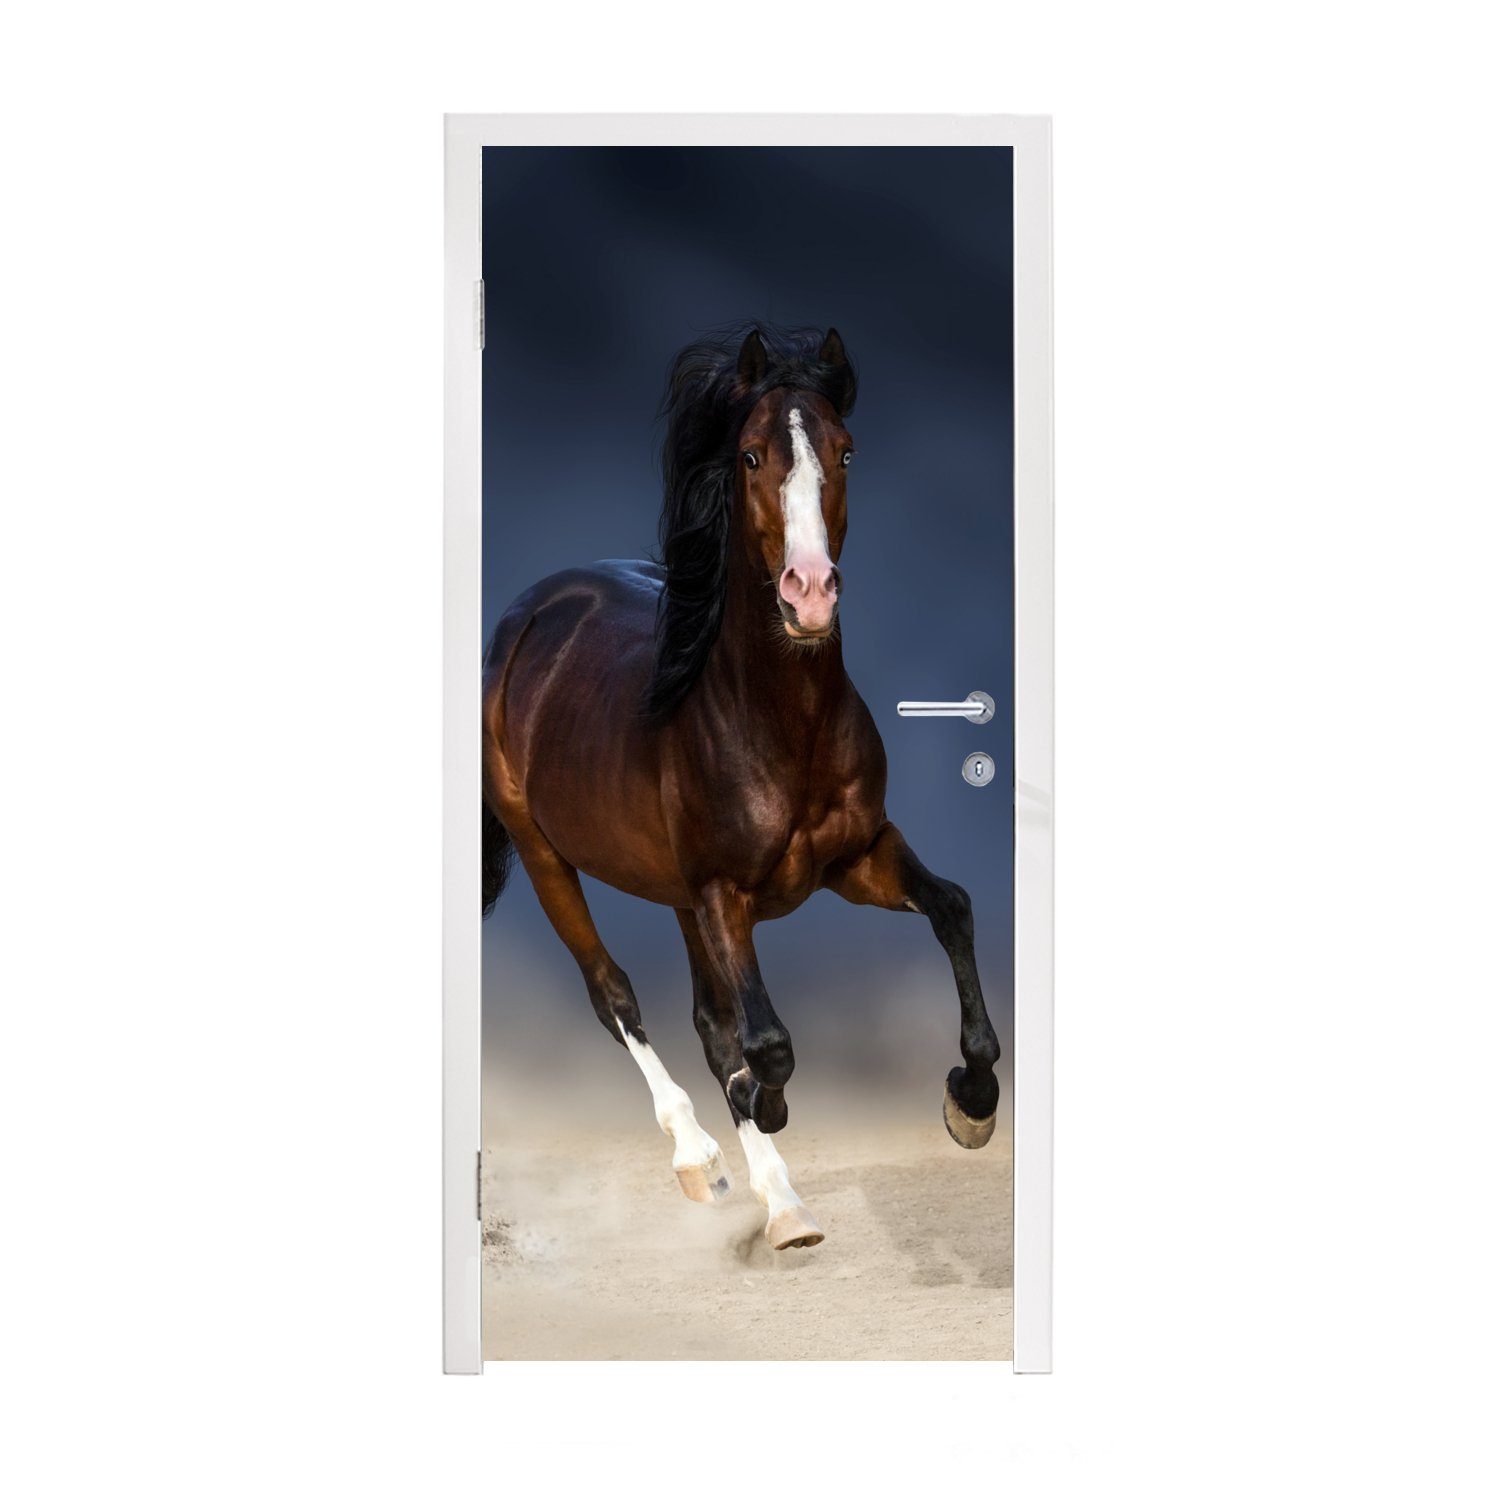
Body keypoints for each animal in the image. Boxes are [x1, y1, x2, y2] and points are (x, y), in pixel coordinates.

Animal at [481, 324, 1000, 1250]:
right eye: (752, 454)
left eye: (846, 450)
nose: (810, 593)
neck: (779, 723)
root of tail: (530, 612)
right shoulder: (727, 892)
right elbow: (769, 1043)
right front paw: (767, 1107)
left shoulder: (858, 858)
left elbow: (953, 909)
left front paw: (971, 1102)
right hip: (547, 858)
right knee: (616, 995)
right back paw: (704, 1160)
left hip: (677, 895)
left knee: (706, 1020)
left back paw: (782, 1202)